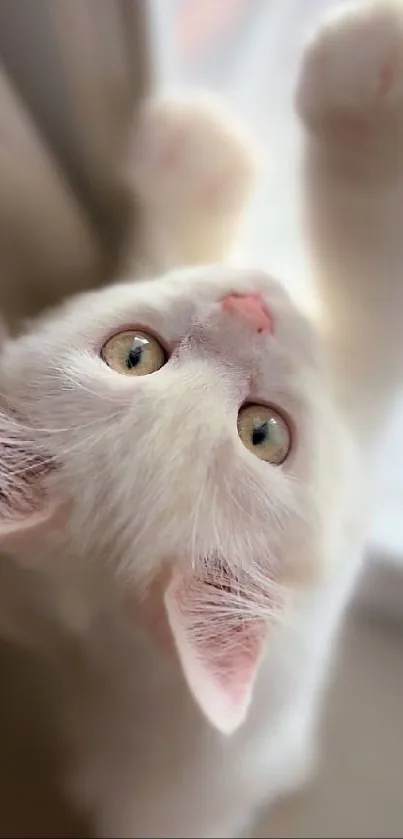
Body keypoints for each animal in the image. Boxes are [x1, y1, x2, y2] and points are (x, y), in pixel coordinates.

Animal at [0, 3, 403, 836]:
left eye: (132, 354)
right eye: (263, 433)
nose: (248, 306)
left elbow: (155, 249)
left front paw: (189, 152)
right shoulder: (361, 393)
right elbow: (372, 250)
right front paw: (364, 74)